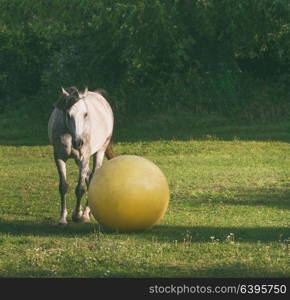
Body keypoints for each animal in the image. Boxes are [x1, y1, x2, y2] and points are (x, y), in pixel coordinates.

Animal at [47, 85, 113, 224]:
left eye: (85, 114)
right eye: (68, 114)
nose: (78, 142)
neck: (69, 135)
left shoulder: (83, 159)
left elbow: (80, 188)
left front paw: (78, 215)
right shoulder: (59, 158)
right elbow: (63, 187)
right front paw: (62, 218)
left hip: (99, 151)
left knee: (92, 177)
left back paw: (86, 213)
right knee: (88, 176)